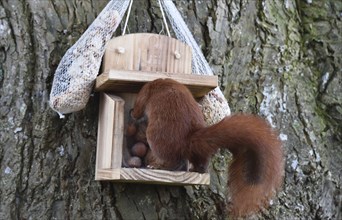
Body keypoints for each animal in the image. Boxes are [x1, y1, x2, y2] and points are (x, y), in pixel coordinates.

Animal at [130, 78, 284, 217]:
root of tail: (189, 140)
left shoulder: (144, 95)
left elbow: (138, 109)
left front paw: (133, 113)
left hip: (156, 138)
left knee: (174, 161)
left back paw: (157, 166)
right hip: (196, 154)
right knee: (199, 165)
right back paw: (195, 169)